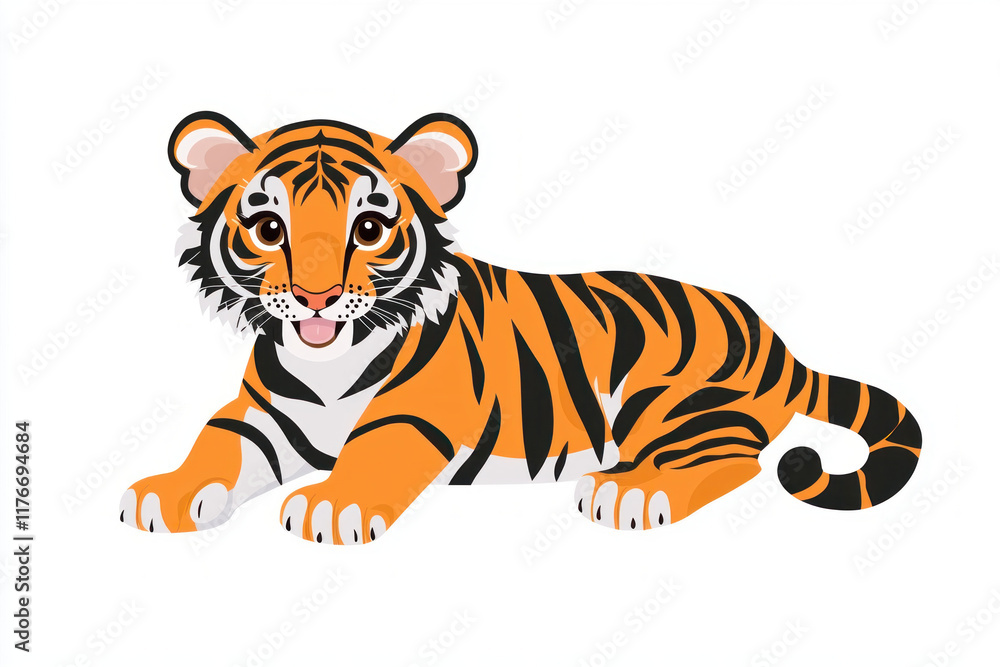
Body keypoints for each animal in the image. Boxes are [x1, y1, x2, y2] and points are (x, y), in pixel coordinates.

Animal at [120, 111, 922, 544]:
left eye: (370, 229)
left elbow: (370, 454)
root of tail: (775, 338)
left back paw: (630, 492)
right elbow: (217, 446)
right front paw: (165, 493)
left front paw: (330, 505)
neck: (324, 362)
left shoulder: (417, 411)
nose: (315, 299)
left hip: (664, 392)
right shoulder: (259, 413)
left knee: (737, 458)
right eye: (267, 227)